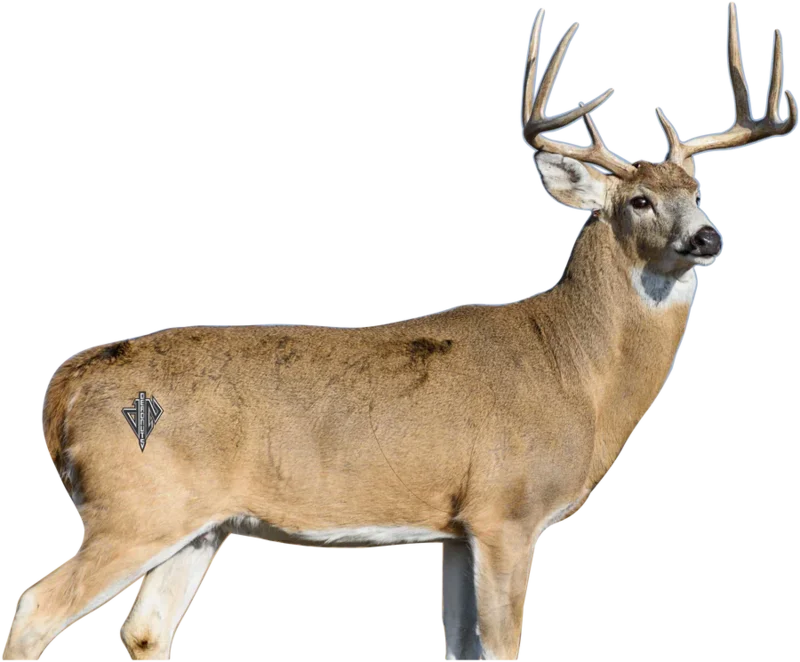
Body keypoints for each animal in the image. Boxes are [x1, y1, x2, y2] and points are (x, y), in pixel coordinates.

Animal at [5, 3, 796, 661]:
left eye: (697, 192)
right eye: (638, 201)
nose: (708, 237)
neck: (576, 372)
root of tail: (69, 383)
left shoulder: (456, 528)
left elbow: (458, 647)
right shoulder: (507, 510)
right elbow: (502, 647)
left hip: (200, 521)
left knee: (144, 628)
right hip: (133, 502)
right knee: (34, 607)